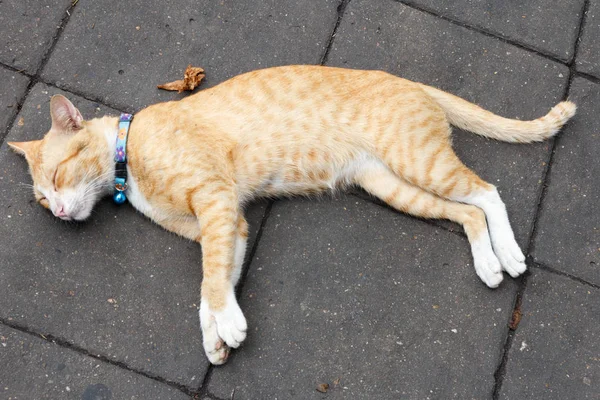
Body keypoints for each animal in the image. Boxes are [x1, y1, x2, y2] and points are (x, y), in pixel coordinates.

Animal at [8, 65, 576, 362]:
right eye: (42, 200)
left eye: (56, 177)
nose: (59, 212)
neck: (130, 155)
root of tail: (411, 81)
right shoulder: (225, 225)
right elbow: (213, 285)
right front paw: (216, 336)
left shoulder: (216, 206)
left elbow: (211, 280)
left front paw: (229, 325)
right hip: (394, 185)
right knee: (468, 214)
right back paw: (488, 263)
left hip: (419, 162)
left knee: (488, 192)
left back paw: (510, 255)